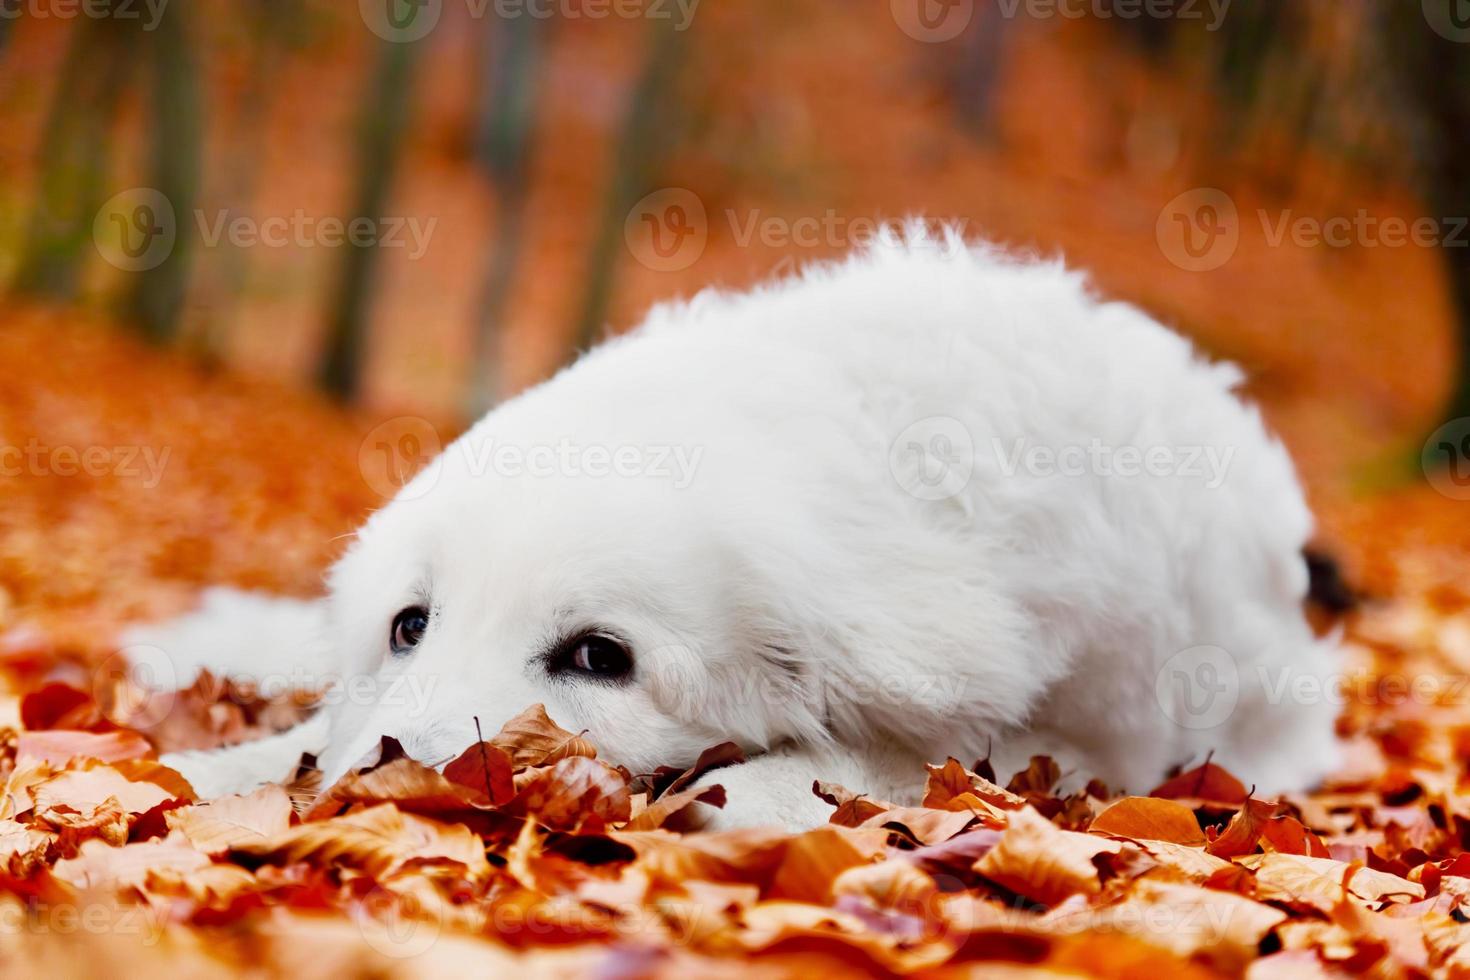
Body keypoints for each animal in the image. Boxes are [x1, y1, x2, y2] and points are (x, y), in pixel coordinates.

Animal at [123, 232, 1346, 828]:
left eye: (600, 658)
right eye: (409, 625)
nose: (392, 778)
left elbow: (844, 760)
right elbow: (291, 740)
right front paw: (181, 770)